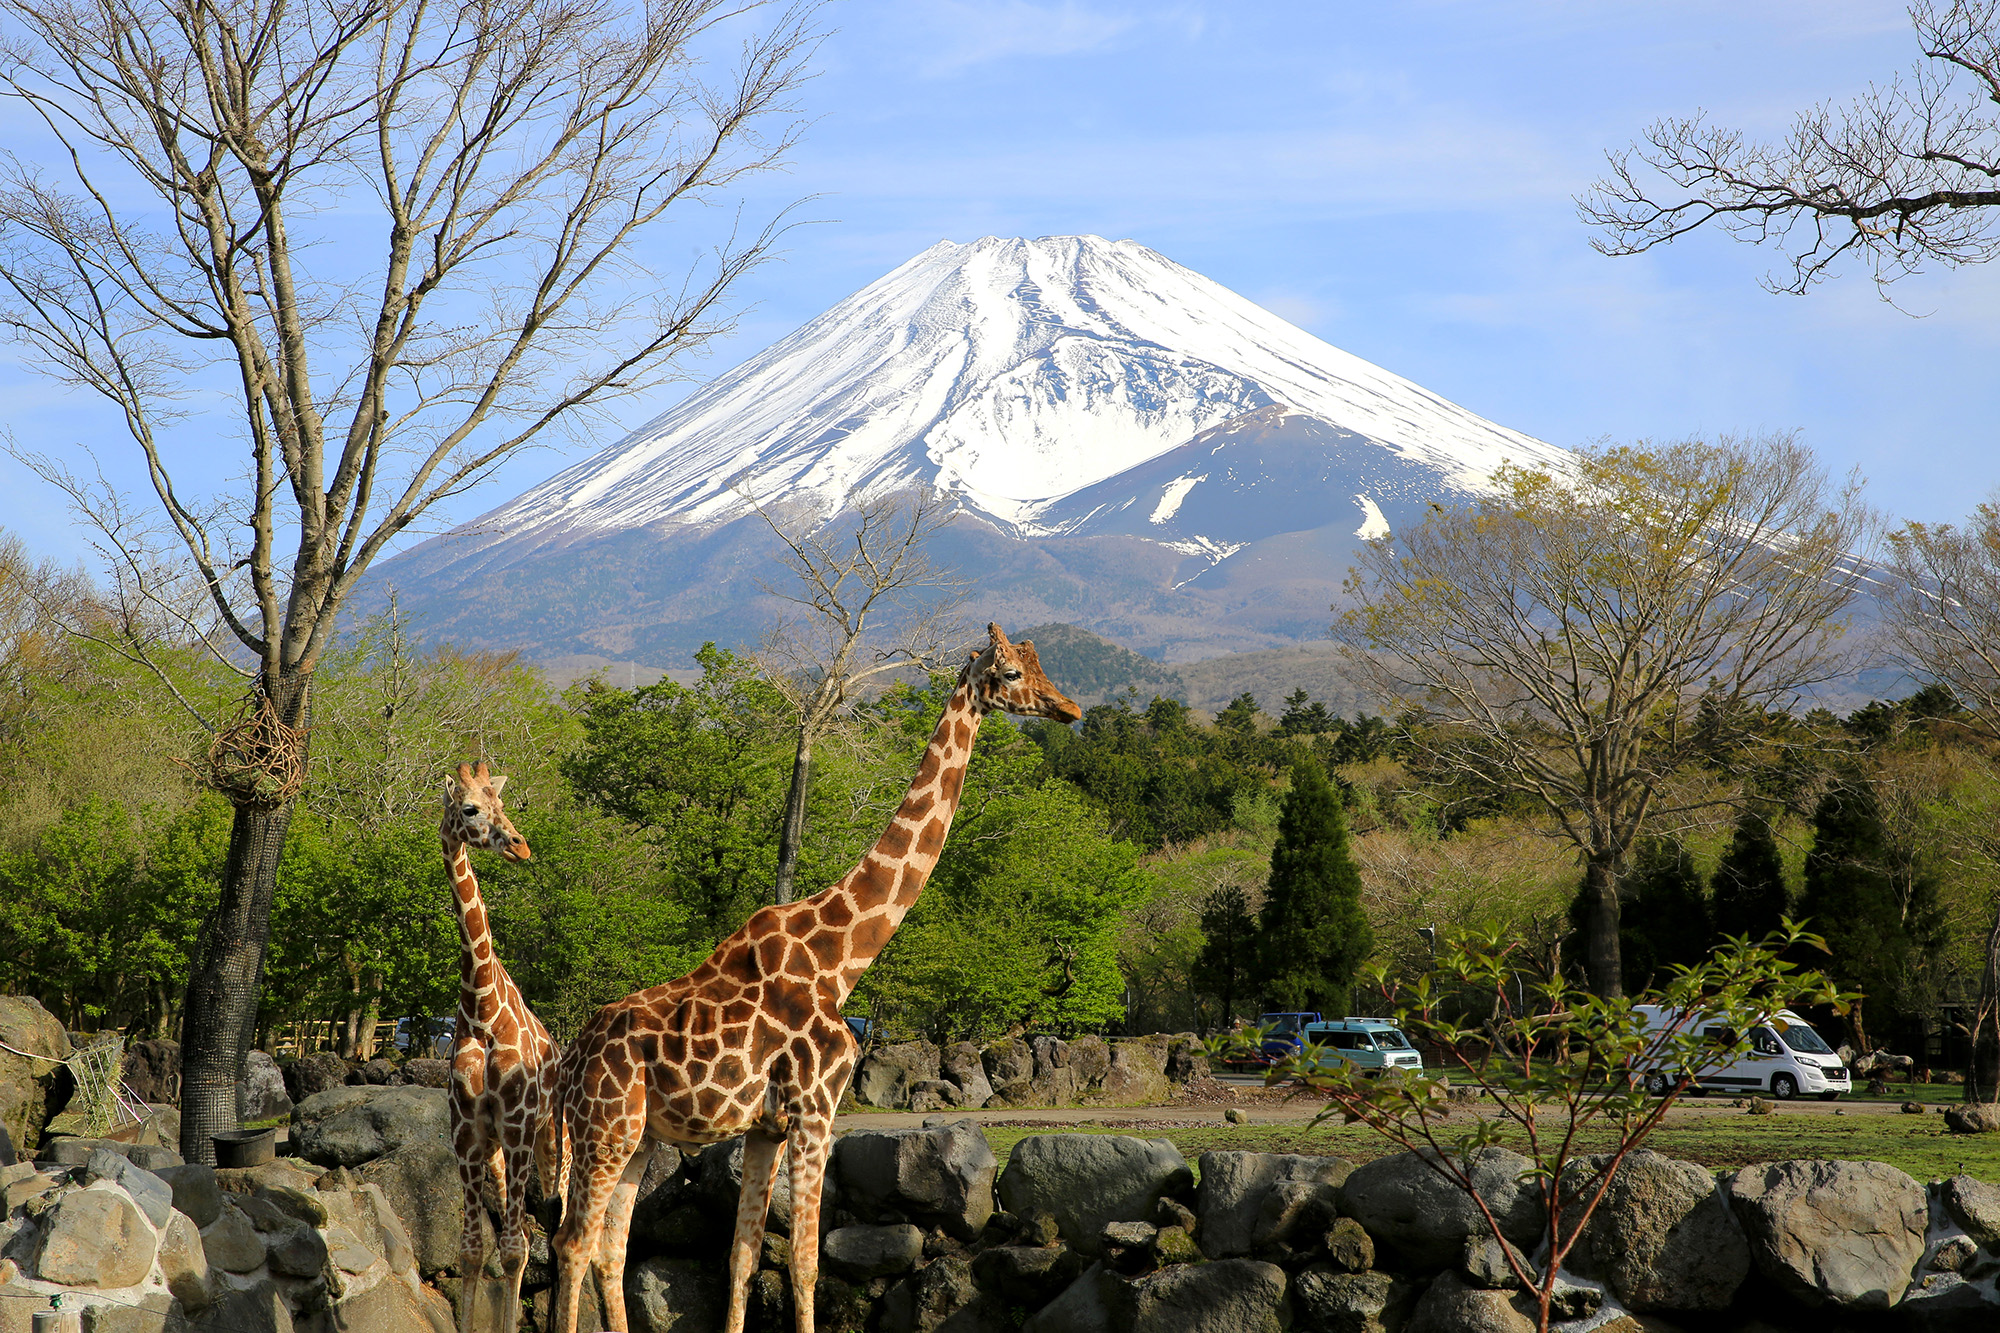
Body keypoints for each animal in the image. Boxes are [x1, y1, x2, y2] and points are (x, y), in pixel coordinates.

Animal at [548, 624, 1080, 1328]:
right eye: (1014, 673)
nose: (1070, 709)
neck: (840, 961)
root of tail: (567, 1063)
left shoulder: (765, 1129)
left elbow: (743, 1258)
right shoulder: (815, 1112)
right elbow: (804, 1262)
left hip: (637, 1136)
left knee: (611, 1246)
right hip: (602, 1130)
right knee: (572, 1242)